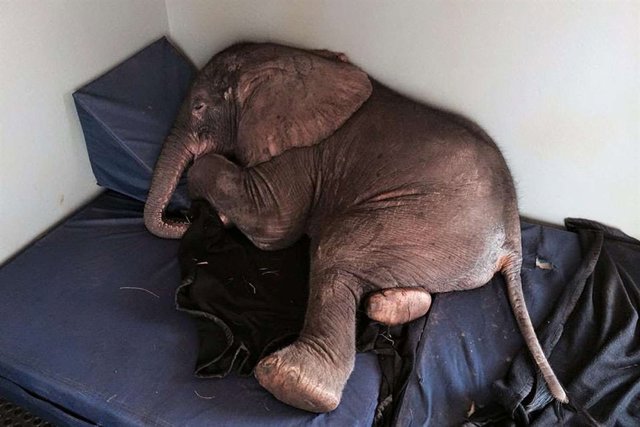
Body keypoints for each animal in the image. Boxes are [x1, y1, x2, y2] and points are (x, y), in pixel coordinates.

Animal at [144, 42, 567, 412]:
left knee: (336, 248)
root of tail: (512, 241)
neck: (292, 59)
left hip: (425, 224)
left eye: (199, 107)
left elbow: (273, 224)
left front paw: (220, 210)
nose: (184, 217)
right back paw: (385, 306)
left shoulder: (302, 153)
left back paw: (293, 384)